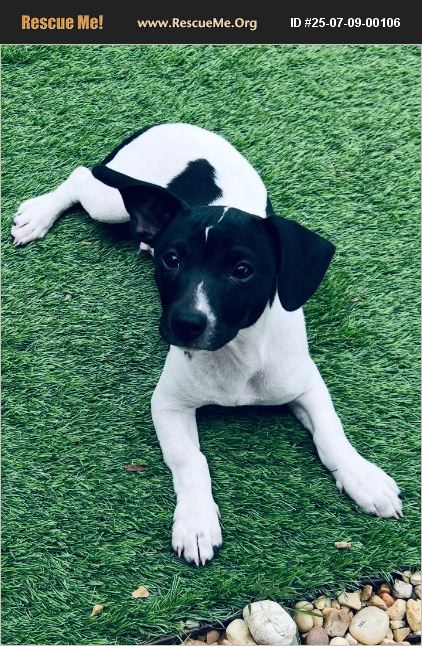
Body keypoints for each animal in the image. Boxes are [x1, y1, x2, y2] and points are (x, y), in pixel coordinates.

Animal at [11, 123, 402, 565]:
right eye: (172, 260)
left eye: (242, 270)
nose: (184, 324)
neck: (237, 354)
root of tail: (167, 123)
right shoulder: (168, 403)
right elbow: (190, 460)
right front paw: (196, 521)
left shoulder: (306, 385)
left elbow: (332, 435)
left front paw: (363, 478)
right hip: (111, 200)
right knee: (80, 177)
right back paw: (38, 215)